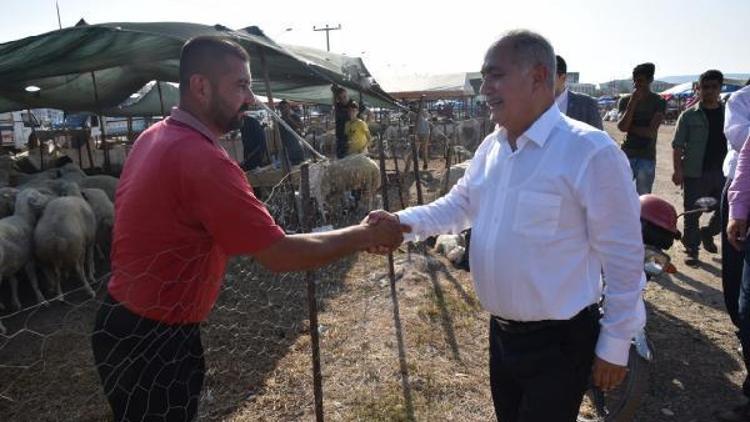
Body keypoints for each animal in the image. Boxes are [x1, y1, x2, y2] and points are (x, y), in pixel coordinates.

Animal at [0, 188, 49, 320]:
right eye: (38, 195)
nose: (48, 198)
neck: (24, 218)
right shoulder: (29, 259)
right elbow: (33, 280)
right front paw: (41, 300)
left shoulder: (12, 262)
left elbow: (13, 282)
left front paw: (15, 302)